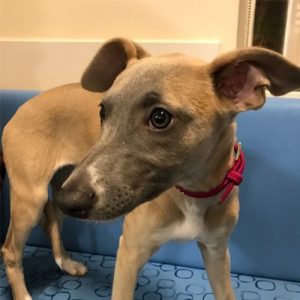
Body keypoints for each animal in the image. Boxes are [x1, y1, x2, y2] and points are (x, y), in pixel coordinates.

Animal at [1, 38, 300, 300]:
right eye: (103, 112)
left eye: (160, 117)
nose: (71, 199)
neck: (191, 193)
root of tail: (19, 112)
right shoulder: (129, 252)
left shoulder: (217, 252)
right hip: (34, 197)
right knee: (11, 249)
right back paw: (24, 292)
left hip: (62, 183)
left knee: (52, 216)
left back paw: (65, 261)